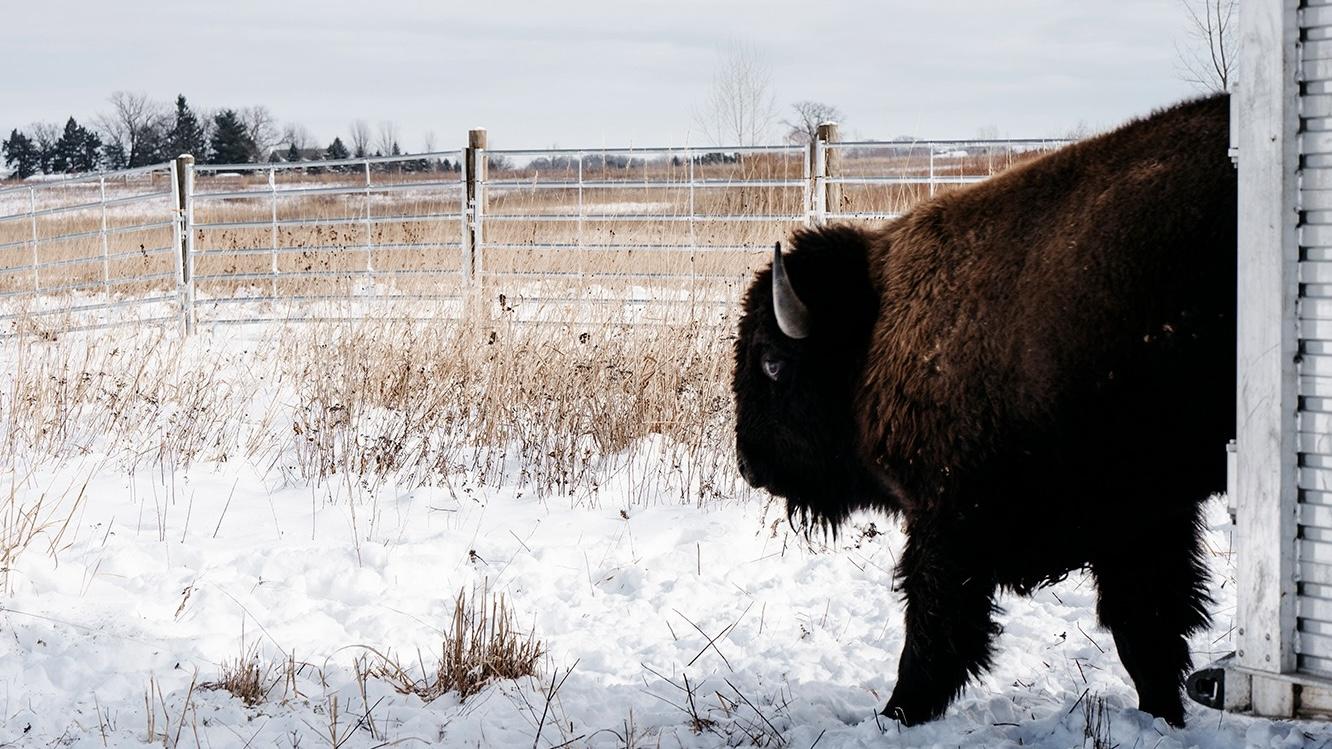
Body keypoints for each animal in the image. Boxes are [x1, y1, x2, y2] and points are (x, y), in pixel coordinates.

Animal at [731, 94, 1235, 727]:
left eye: (772, 362)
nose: (750, 463)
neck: (873, 330)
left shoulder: (950, 522)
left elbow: (934, 631)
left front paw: (898, 714)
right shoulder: (1141, 516)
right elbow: (1146, 626)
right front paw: (1163, 714)